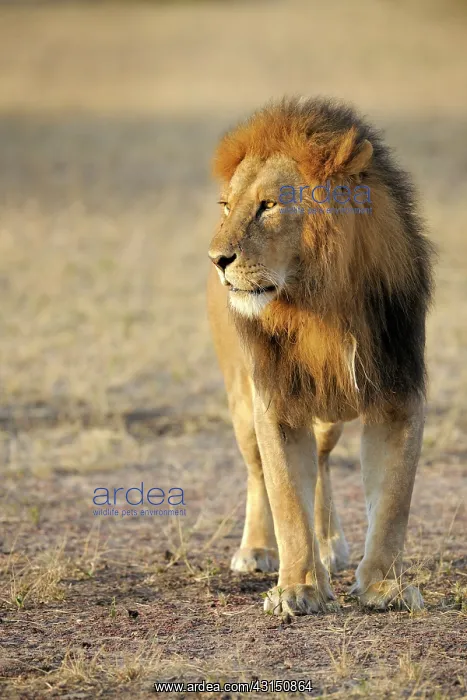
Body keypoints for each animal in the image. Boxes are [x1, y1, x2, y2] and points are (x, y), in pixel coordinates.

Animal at [207, 97, 434, 616]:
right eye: (227, 206)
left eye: (269, 205)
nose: (217, 260)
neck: (321, 303)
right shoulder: (274, 402)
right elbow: (287, 499)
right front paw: (298, 587)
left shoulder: (400, 394)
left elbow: (394, 500)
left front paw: (383, 586)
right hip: (241, 403)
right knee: (257, 472)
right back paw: (257, 549)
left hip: (331, 415)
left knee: (324, 463)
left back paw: (329, 544)